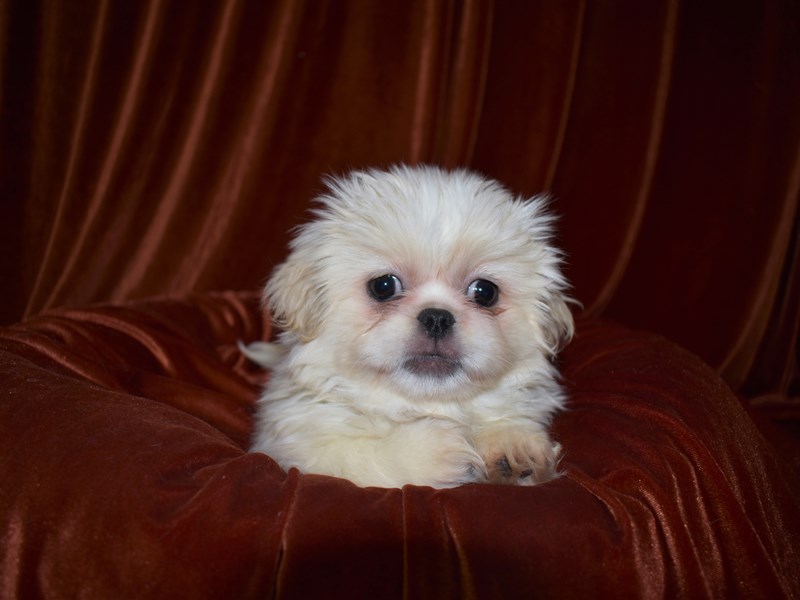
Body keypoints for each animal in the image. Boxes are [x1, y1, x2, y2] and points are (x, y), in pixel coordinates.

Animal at [241, 165, 572, 488]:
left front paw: (511, 446)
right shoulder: (301, 448)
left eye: (485, 292)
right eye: (383, 286)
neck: (423, 405)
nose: (437, 317)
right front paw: (444, 446)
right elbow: (362, 453)